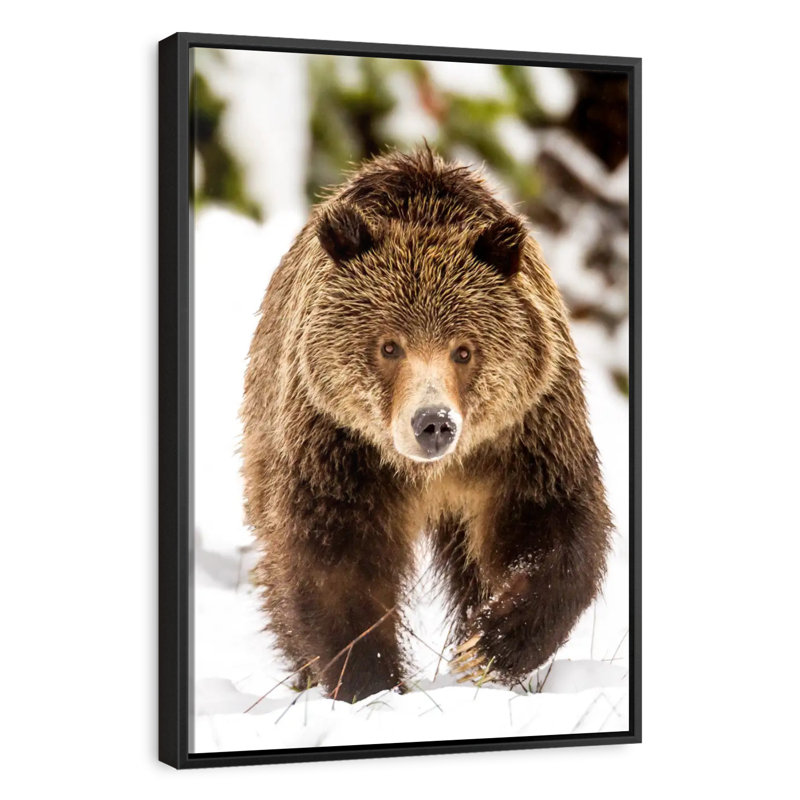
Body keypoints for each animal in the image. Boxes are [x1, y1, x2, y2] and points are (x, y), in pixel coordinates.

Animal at [241, 148, 612, 702]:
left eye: (464, 349)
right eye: (388, 345)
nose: (433, 422)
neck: (428, 472)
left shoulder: (525, 436)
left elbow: (553, 531)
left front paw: (485, 649)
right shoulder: (339, 451)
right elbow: (336, 565)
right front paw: (369, 681)